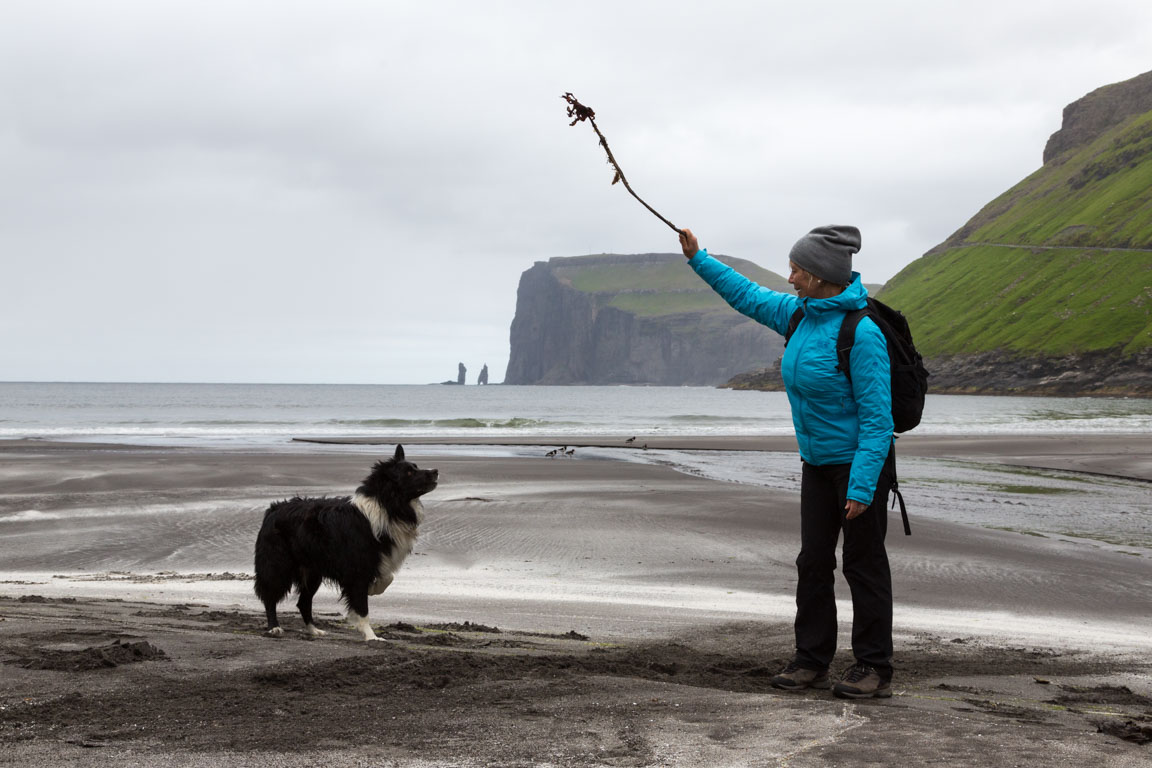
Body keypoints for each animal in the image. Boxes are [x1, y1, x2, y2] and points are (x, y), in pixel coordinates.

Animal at [254, 444, 437, 644]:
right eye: (409, 472)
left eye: (416, 467)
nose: (435, 471)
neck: (388, 506)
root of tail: (274, 508)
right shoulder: (357, 569)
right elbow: (362, 608)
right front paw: (371, 636)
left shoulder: (374, 561)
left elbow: (387, 578)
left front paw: (373, 589)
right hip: (279, 564)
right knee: (270, 595)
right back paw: (274, 627)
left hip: (312, 571)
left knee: (303, 602)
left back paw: (313, 630)